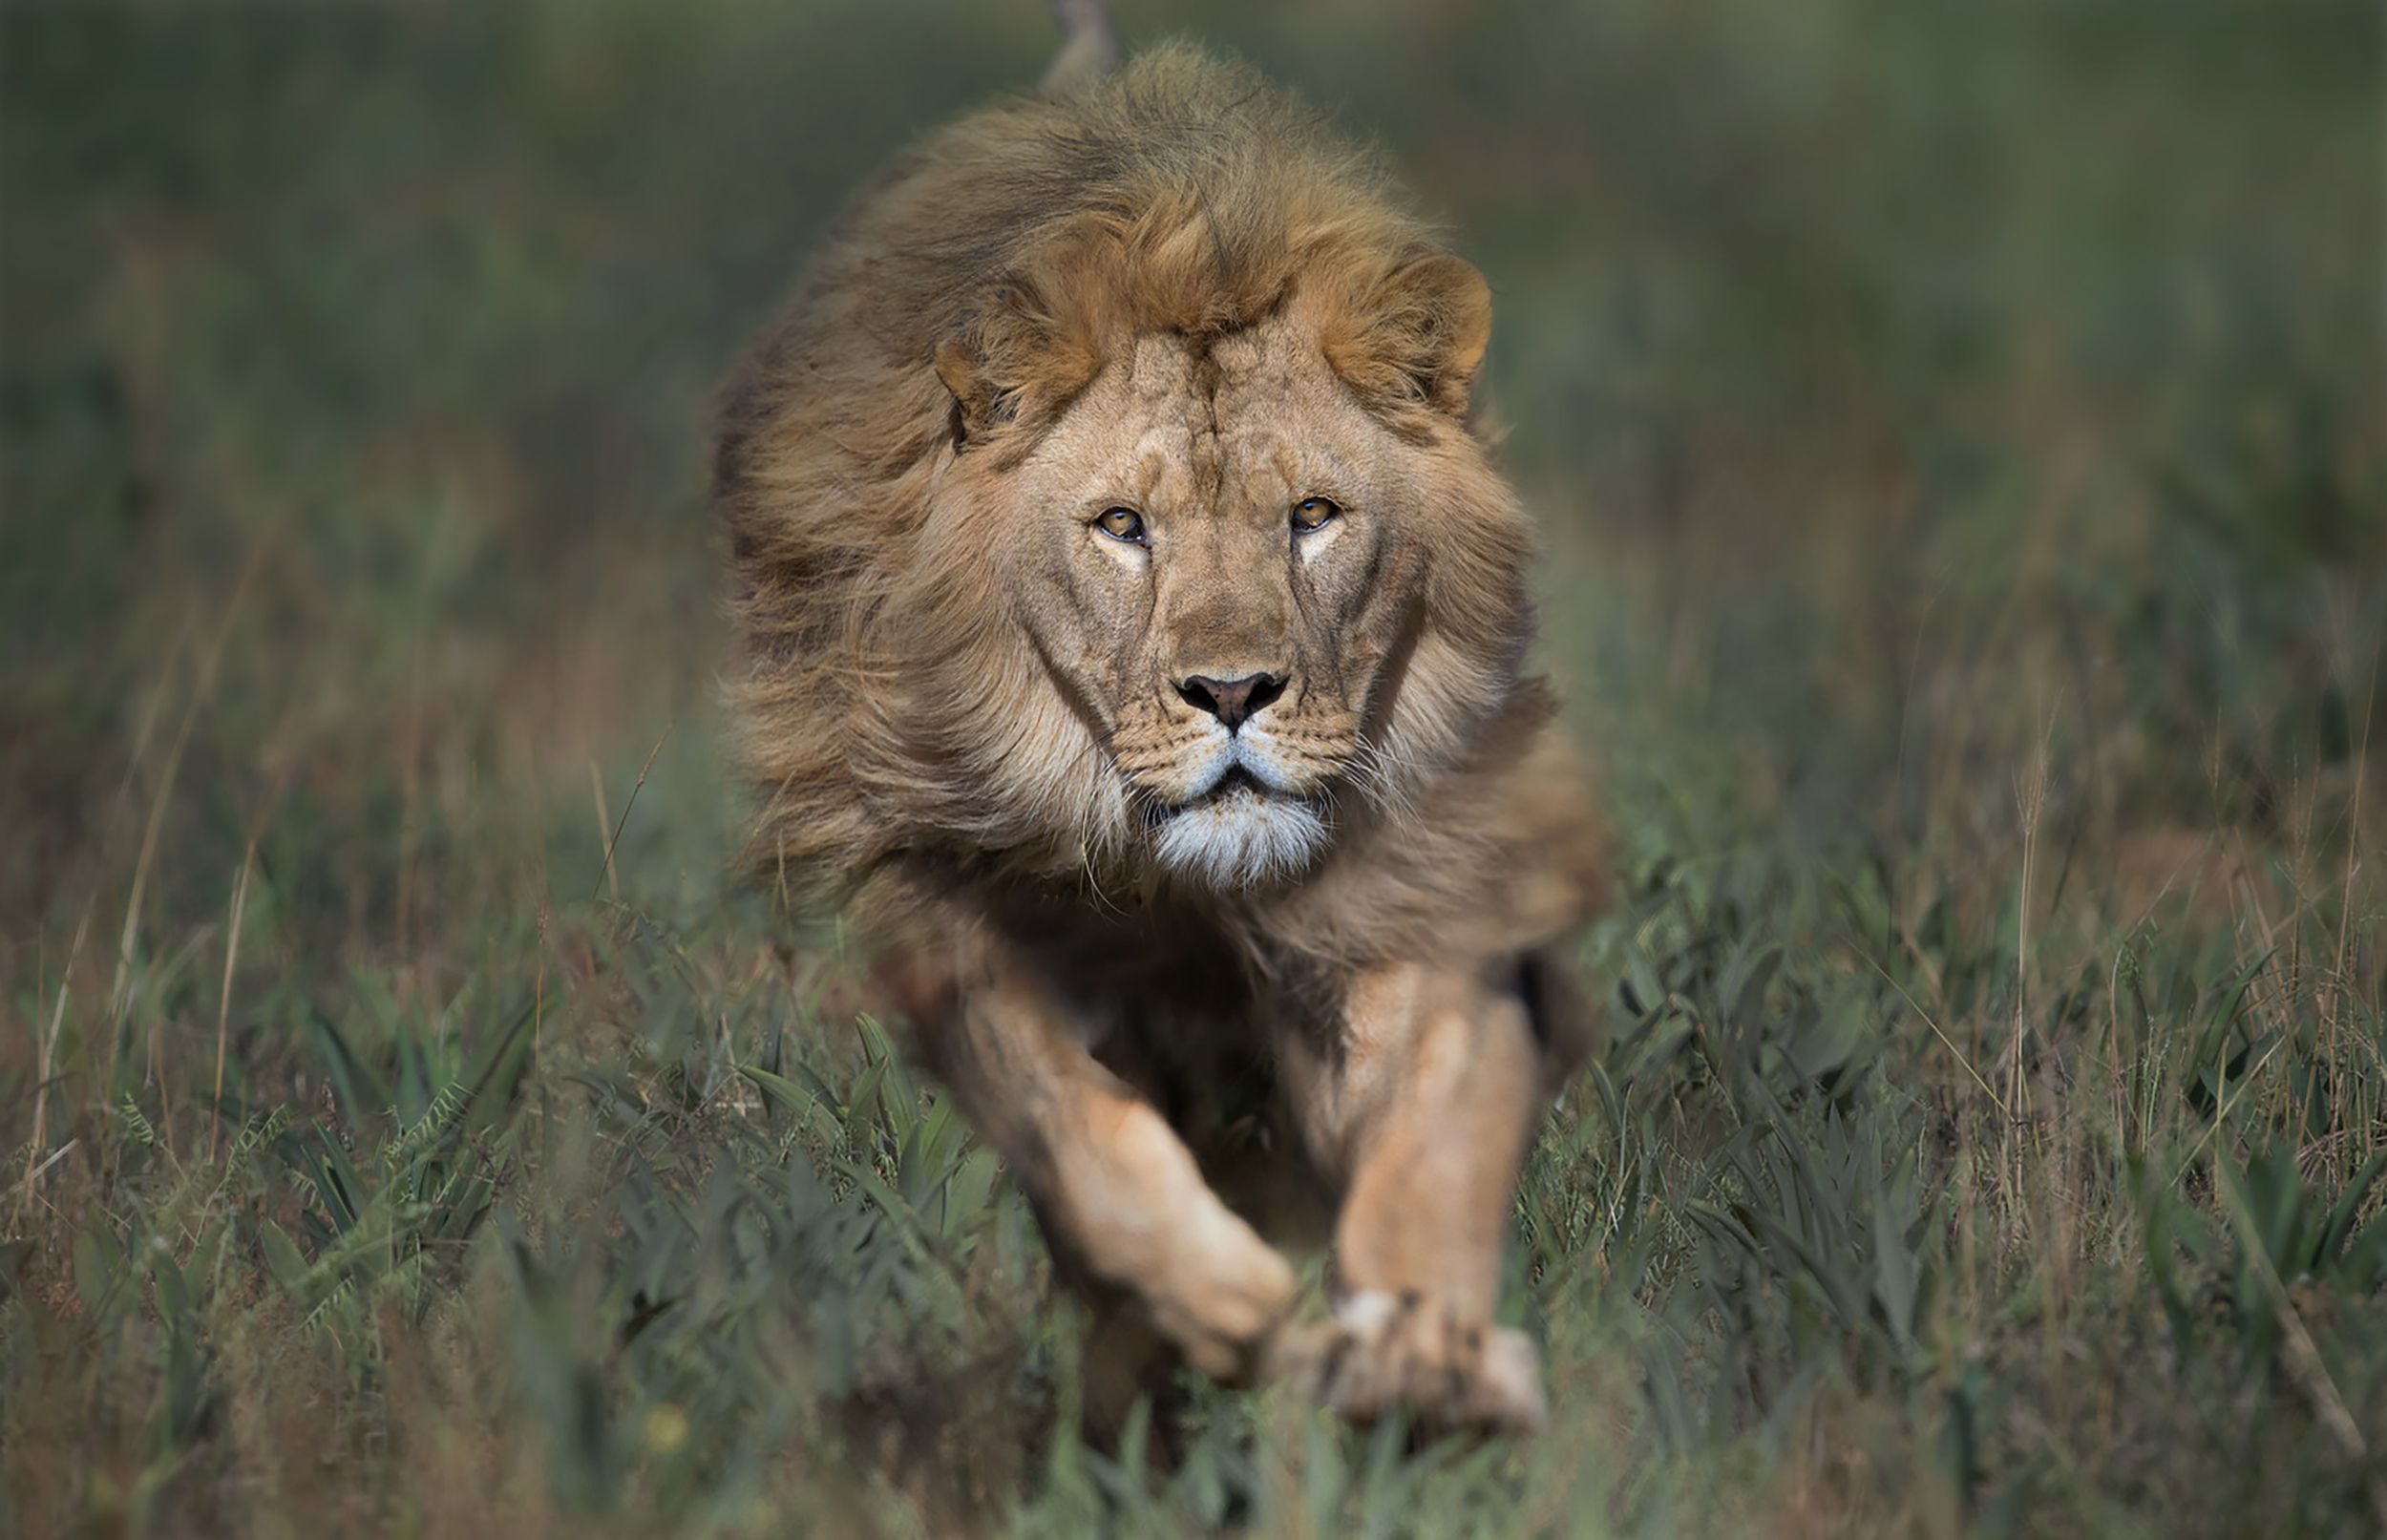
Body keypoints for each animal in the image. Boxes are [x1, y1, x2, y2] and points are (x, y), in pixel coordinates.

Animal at [715, 42, 1608, 1437]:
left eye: (1314, 515)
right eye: (1123, 526)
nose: (1234, 691)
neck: (1182, 889)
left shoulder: (1428, 886)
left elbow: (1435, 1125)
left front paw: (1425, 1349)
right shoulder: (955, 917)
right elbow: (1076, 1126)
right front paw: (1216, 1298)